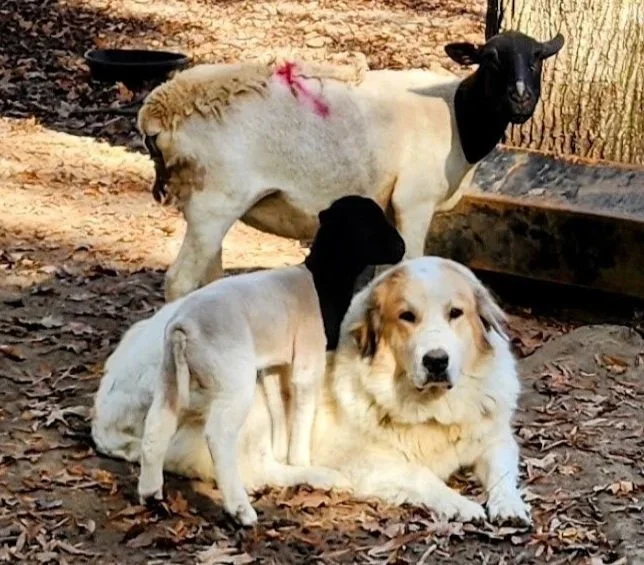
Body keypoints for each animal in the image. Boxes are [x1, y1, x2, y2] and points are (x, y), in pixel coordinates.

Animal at [92, 195, 405, 526]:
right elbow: (302, 414)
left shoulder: (274, 365)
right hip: (231, 379)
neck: (322, 281)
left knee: (157, 424)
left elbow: (280, 409)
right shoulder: (307, 361)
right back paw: (241, 509)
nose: (401, 247)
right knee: (218, 436)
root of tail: (184, 326)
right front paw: (301, 461)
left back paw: (151, 494)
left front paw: (283, 453)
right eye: (369, 223)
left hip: (171, 376)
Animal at [138, 30, 565, 302]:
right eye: (490, 59)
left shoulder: (388, 209)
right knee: (180, 281)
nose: (521, 99)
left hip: (209, 204)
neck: (459, 116)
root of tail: (158, 113)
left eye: (538, 59)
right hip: (215, 201)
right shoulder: (415, 201)